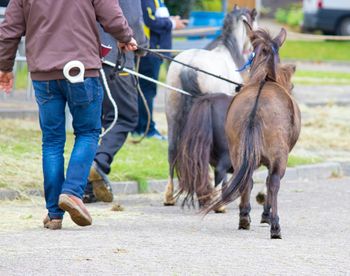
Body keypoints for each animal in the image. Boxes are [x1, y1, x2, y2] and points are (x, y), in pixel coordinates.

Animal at [208, 28, 300, 239]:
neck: (264, 77)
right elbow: (268, 182)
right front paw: (266, 215)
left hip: (238, 151)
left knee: (246, 180)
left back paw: (244, 218)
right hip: (278, 154)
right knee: (273, 182)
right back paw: (275, 225)